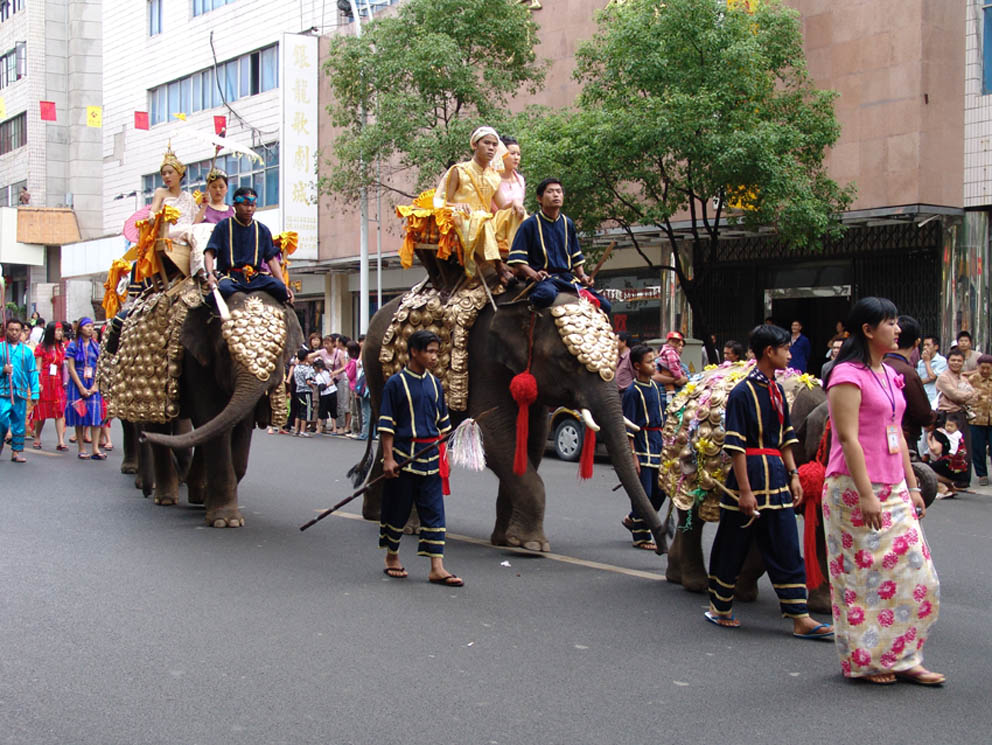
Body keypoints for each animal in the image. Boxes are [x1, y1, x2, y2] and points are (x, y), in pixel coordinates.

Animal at [352, 290, 672, 552]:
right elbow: (495, 437)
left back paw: (376, 516)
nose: (662, 543)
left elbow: (531, 440)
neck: (525, 301)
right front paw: (533, 545)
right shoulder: (484, 360)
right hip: (378, 366)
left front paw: (508, 540)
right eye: (566, 361)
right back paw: (409, 527)